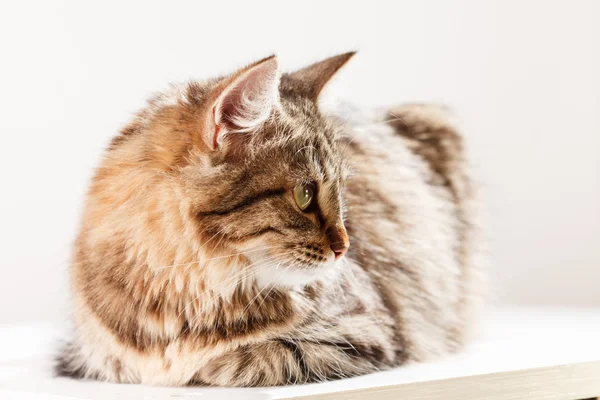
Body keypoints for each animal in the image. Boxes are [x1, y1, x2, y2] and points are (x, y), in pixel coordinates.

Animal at [55, 51, 488, 386]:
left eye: (342, 191)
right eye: (304, 195)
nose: (345, 247)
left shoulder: (367, 331)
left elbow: (256, 358)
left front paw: (203, 367)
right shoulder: (89, 358)